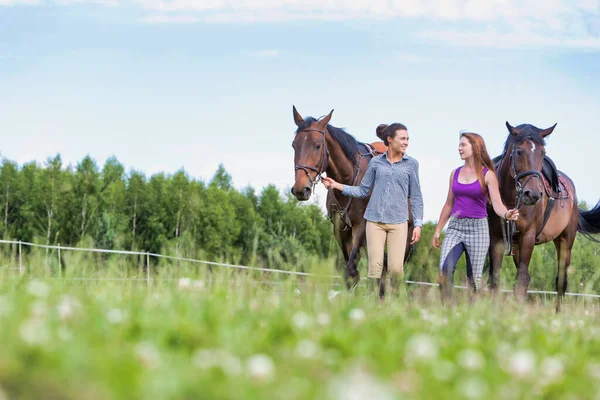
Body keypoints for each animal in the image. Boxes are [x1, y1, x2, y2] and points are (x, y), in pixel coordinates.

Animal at [290, 106, 412, 294]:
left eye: (318, 146)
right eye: (294, 145)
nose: (300, 189)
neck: (349, 178)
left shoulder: (361, 226)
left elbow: (353, 269)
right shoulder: (340, 230)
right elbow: (351, 272)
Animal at [488, 121, 600, 310]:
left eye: (543, 153)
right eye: (519, 151)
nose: (532, 195)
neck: (511, 200)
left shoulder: (528, 237)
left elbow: (521, 281)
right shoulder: (496, 238)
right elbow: (494, 280)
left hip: (565, 242)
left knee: (561, 282)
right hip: (517, 247)